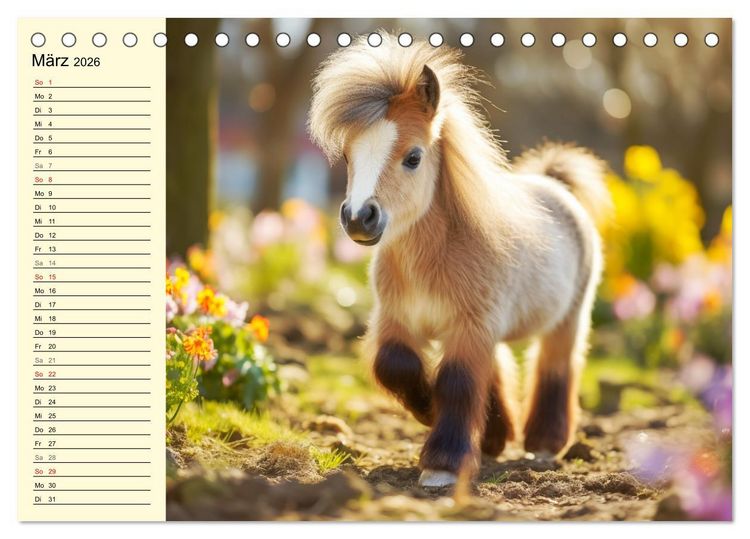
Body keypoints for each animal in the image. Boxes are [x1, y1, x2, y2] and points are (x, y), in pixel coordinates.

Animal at [308, 33, 611, 488]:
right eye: (348, 157)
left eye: (413, 157)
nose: (360, 218)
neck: (434, 261)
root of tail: (555, 186)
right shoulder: (397, 321)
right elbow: (393, 365)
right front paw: (429, 410)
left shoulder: (469, 329)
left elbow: (457, 383)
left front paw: (443, 464)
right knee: (500, 367)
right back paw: (495, 438)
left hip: (567, 321)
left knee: (555, 367)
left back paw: (542, 443)